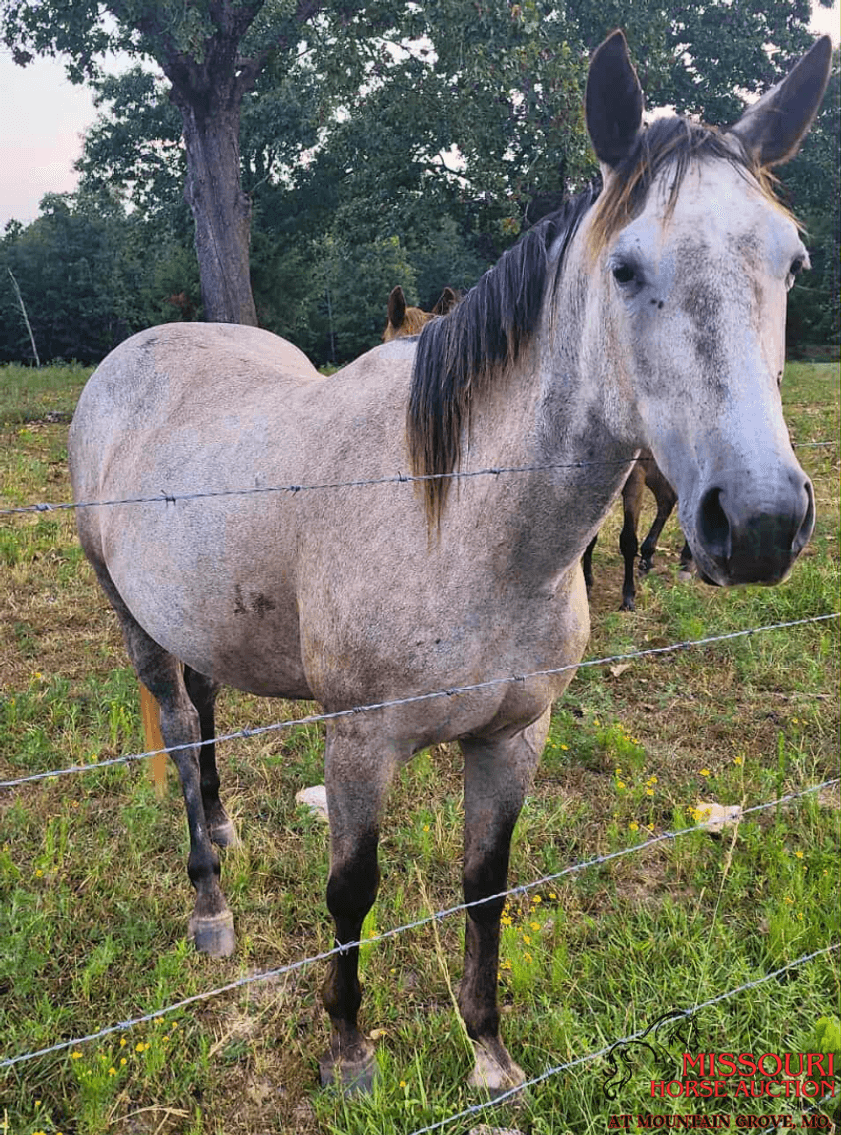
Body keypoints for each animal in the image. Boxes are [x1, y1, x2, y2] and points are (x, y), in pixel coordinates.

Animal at [582, 451, 693, 611]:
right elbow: (588, 537)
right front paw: (587, 585)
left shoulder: (635, 475)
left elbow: (628, 541)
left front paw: (628, 597)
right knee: (667, 499)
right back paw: (647, 557)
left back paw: (686, 561)